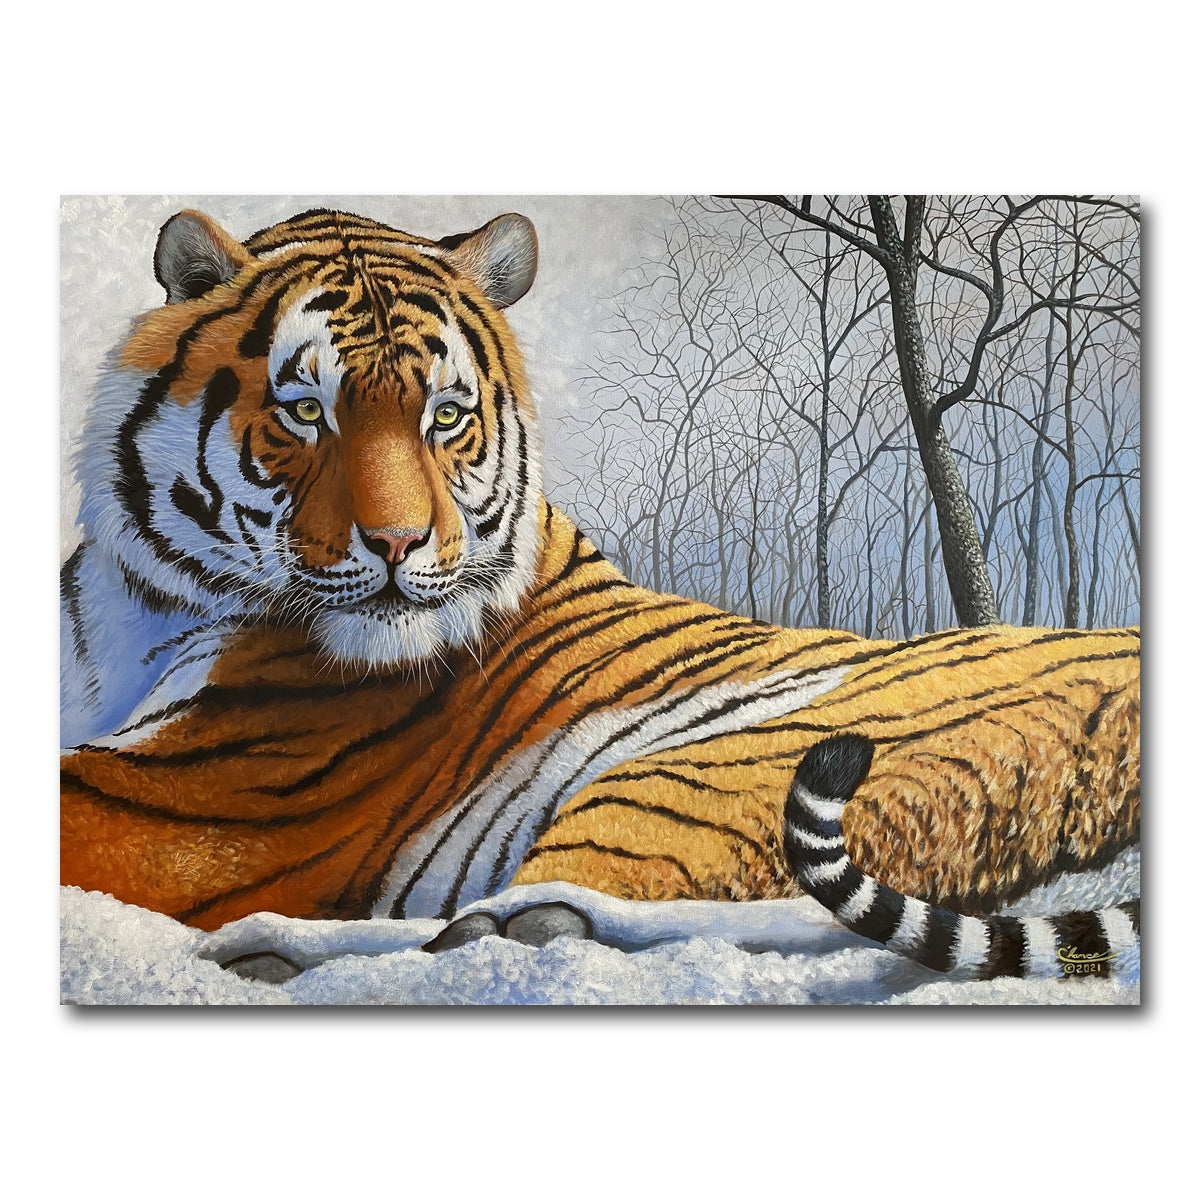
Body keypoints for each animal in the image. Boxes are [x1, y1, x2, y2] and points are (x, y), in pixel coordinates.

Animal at [60, 205, 1141, 983]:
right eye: (303, 411)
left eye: (444, 417)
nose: (399, 544)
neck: (136, 602)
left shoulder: (184, 797)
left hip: (722, 767)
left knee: (534, 922)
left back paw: (269, 946)